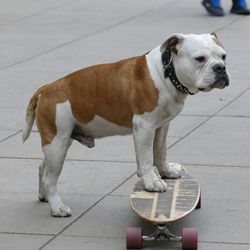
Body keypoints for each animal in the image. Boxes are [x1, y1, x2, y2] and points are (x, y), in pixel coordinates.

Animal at [23, 33, 229, 217]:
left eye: (223, 56)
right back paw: (57, 207)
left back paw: (44, 197)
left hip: (59, 142)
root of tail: (47, 89)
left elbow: (160, 152)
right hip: (57, 143)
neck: (167, 73)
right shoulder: (144, 127)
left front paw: (166, 171)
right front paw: (151, 182)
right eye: (200, 59)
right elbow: (146, 158)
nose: (220, 68)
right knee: (50, 177)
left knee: (43, 167)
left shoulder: (162, 126)